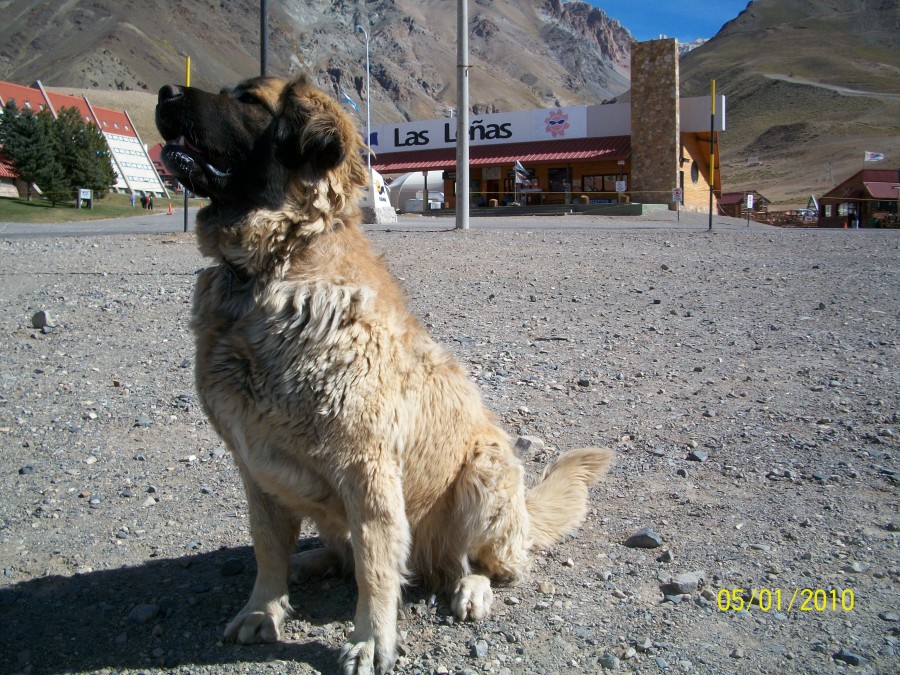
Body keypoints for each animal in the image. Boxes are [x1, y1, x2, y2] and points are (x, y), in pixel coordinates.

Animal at [158, 75, 616, 675]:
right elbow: (266, 546)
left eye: (249, 101)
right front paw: (263, 608)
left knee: (483, 564)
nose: (166, 93)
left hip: (486, 468)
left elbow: (376, 566)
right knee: (343, 549)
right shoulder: (255, 464)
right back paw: (316, 559)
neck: (272, 271)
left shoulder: (366, 466)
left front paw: (373, 639)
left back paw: (470, 587)